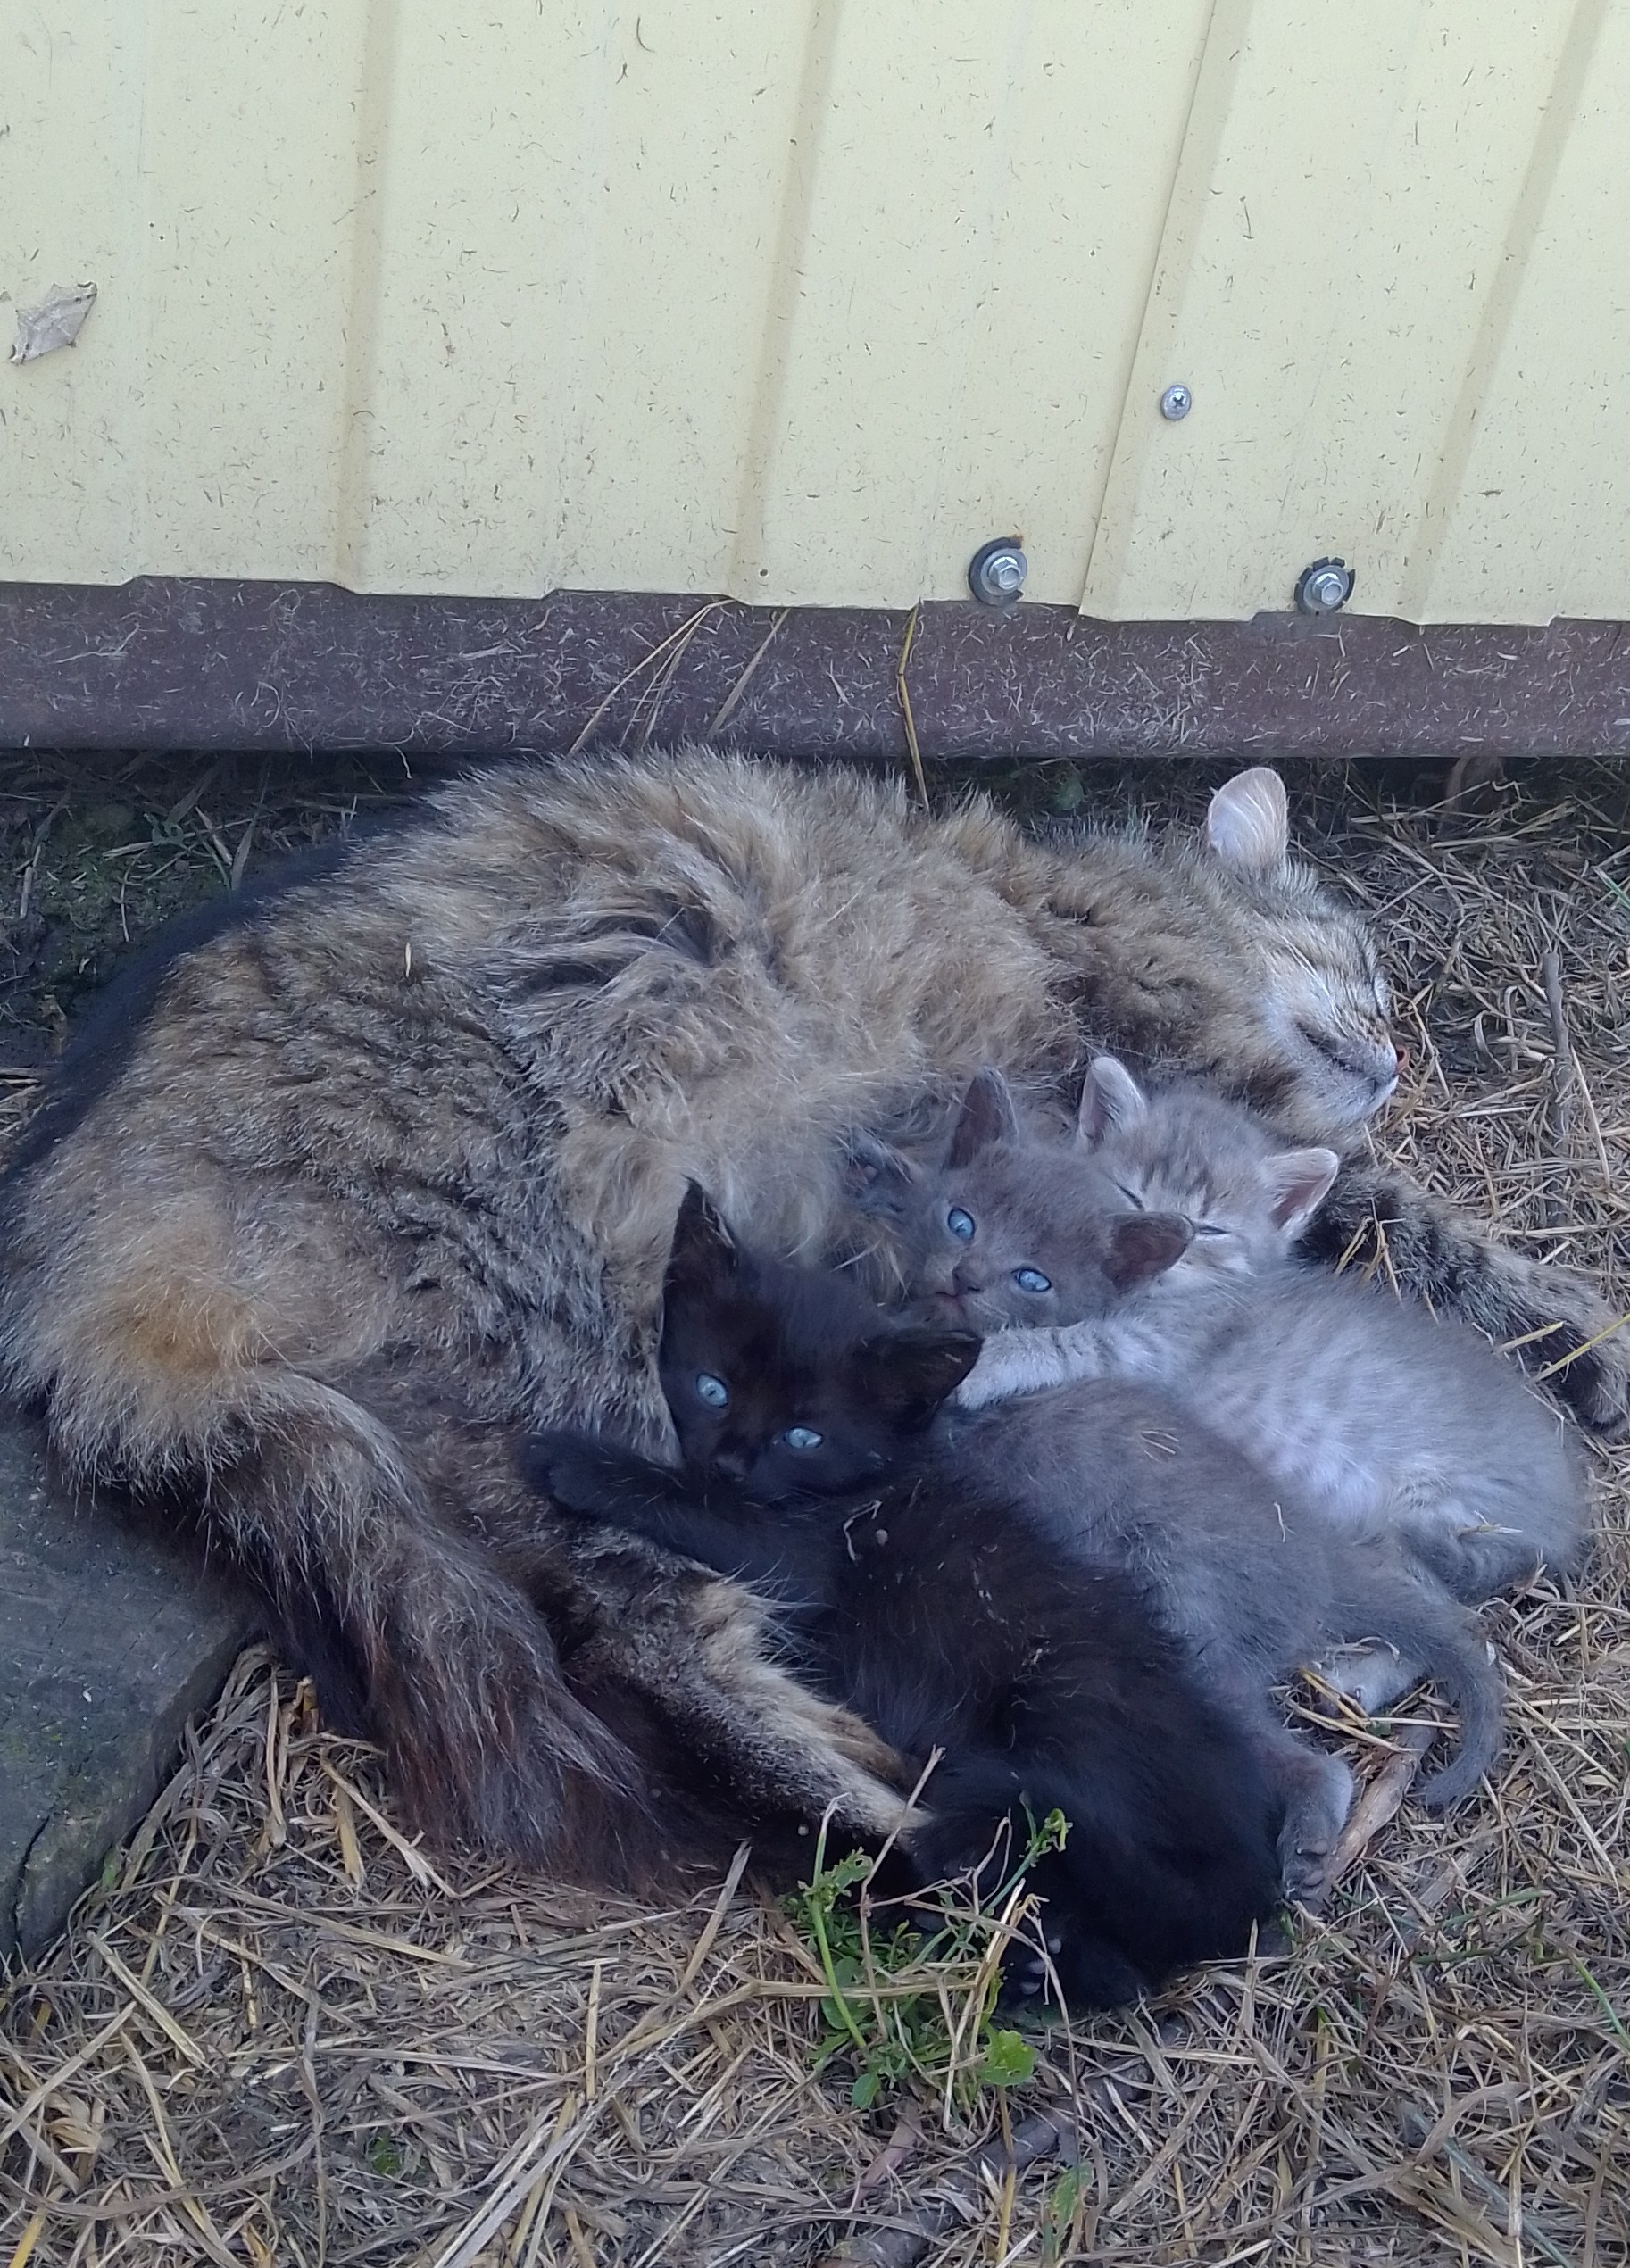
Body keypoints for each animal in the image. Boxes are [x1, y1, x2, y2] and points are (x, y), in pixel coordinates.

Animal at [523, 1188, 1287, 2005]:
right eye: (712, 1388)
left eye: (804, 1436)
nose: (730, 1460)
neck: (877, 1478)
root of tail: (1249, 1859)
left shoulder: (811, 1549)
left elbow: (711, 1512)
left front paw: (578, 1460)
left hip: (1075, 1705)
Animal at [943, 1052, 1595, 1641]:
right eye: (1131, 1197)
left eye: (1209, 1229)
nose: (1169, 1243)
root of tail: (1568, 1510)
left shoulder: (1154, 1346)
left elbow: (1061, 1342)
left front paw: (986, 1365)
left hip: (1436, 1509)